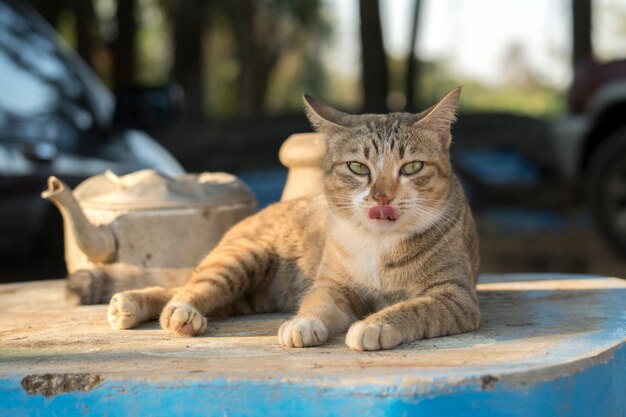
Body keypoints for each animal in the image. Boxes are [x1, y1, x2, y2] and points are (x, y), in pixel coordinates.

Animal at [107, 88, 478, 352]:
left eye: (412, 167)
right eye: (358, 167)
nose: (382, 197)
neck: (378, 241)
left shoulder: (456, 297)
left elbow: (414, 308)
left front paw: (374, 324)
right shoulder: (331, 285)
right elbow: (316, 303)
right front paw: (303, 324)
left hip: (250, 297)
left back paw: (132, 305)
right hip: (242, 258)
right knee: (190, 287)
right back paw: (166, 309)